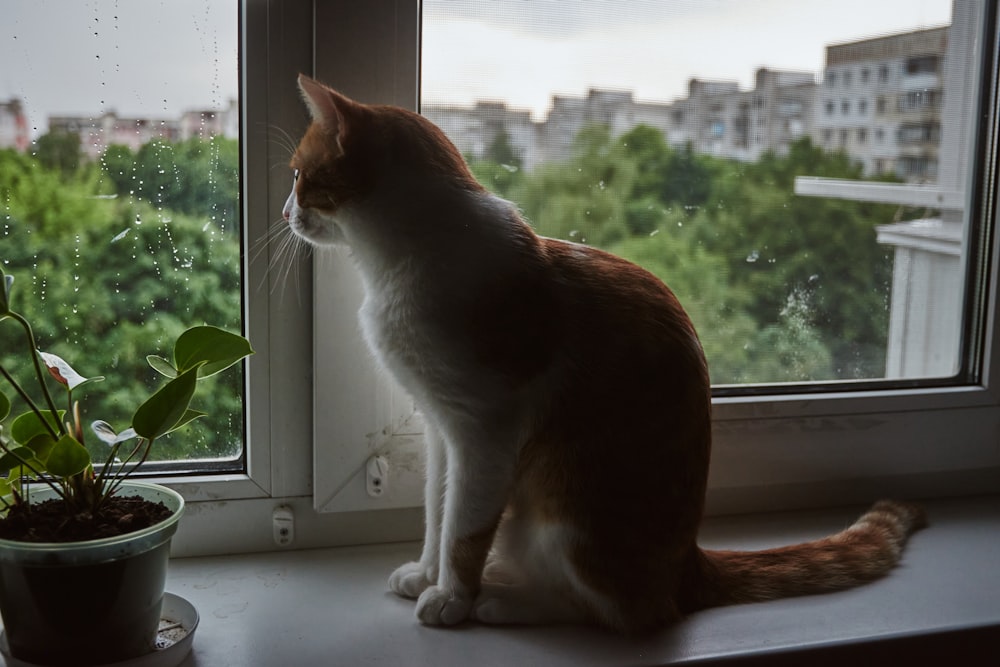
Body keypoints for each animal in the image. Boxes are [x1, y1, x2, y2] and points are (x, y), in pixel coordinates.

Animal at [282, 75, 920, 636]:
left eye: (297, 174)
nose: (286, 212)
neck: (401, 260)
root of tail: (688, 563)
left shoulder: (483, 431)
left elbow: (464, 527)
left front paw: (452, 597)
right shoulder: (442, 430)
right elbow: (438, 515)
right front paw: (426, 573)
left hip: (565, 515)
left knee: (621, 613)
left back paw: (506, 603)